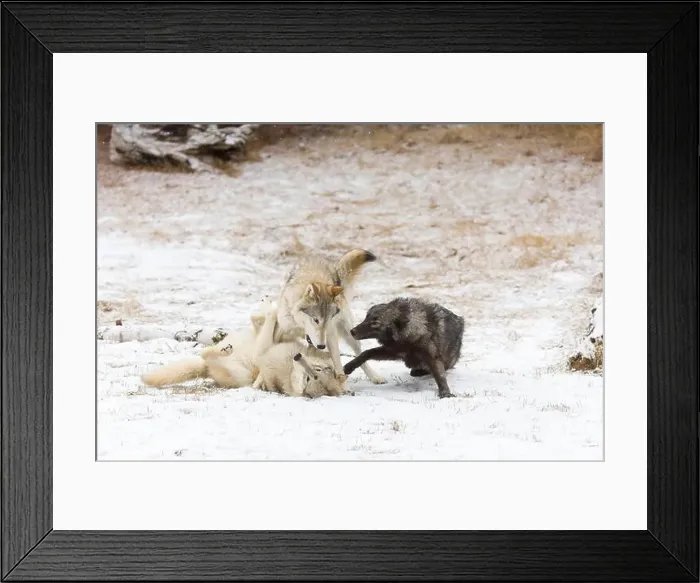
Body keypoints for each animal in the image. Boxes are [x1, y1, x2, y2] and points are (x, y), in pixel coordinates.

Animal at [272, 248, 386, 384]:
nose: (322, 346)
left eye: (327, 320)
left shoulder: (330, 334)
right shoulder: (285, 328)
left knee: (359, 354)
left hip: (350, 334)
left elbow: (337, 361)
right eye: (316, 320)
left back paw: (375, 377)